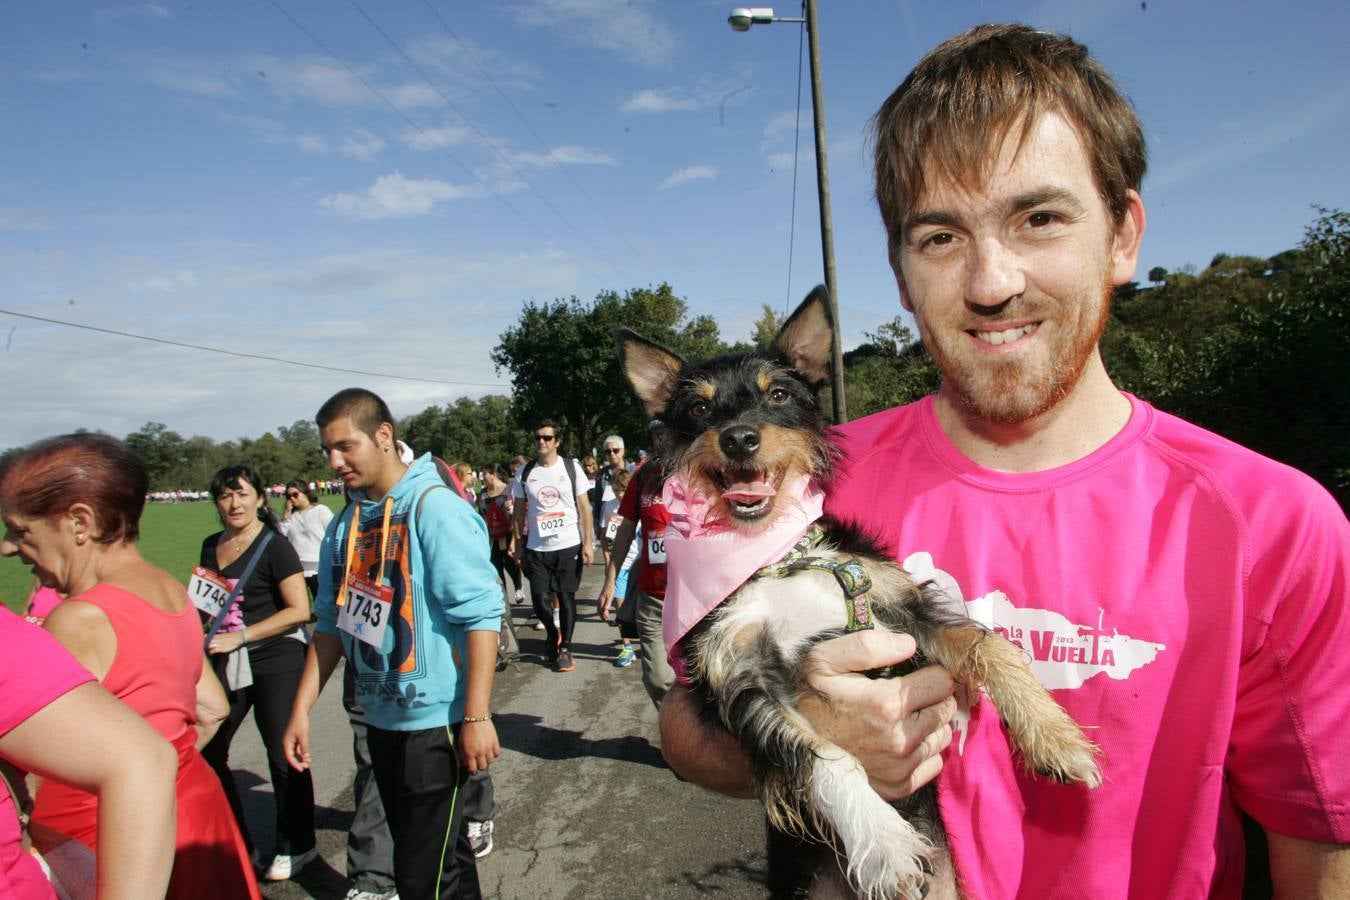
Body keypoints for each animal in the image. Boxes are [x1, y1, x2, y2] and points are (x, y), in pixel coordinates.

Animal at [618, 290, 1101, 900]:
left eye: (778, 394)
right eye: (699, 410)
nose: (739, 437)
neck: (774, 559)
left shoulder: (902, 606)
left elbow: (987, 646)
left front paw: (1054, 736)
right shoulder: (741, 674)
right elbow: (821, 753)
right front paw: (885, 843)